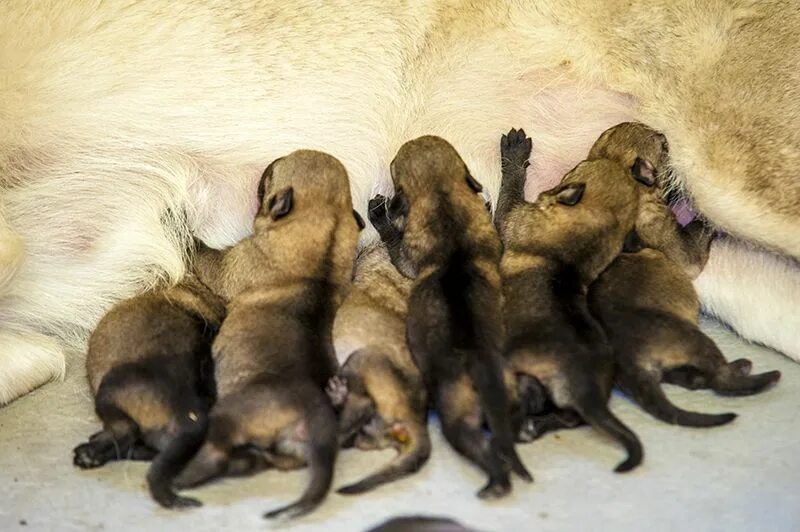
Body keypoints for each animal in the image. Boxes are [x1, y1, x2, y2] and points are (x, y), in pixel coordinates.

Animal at [177, 151, 364, 520]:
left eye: (273, 173)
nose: (270, 160)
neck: (329, 229)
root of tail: (317, 414)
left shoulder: (229, 265)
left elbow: (200, 251)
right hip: (289, 449)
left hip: (229, 416)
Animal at [374, 136, 532, 498]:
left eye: (394, 165)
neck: (442, 195)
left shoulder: (408, 256)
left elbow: (397, 250)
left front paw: (381, 217)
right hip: (511, 390)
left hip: (456, 411)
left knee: (474, 442)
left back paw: (496, 481)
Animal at [496, 130, 648, 474]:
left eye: (577, 167)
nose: (594, 155)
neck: (570, 252)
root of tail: (587, 390)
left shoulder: (513, 218)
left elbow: (510, 191)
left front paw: (514, 154)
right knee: (568, 418)